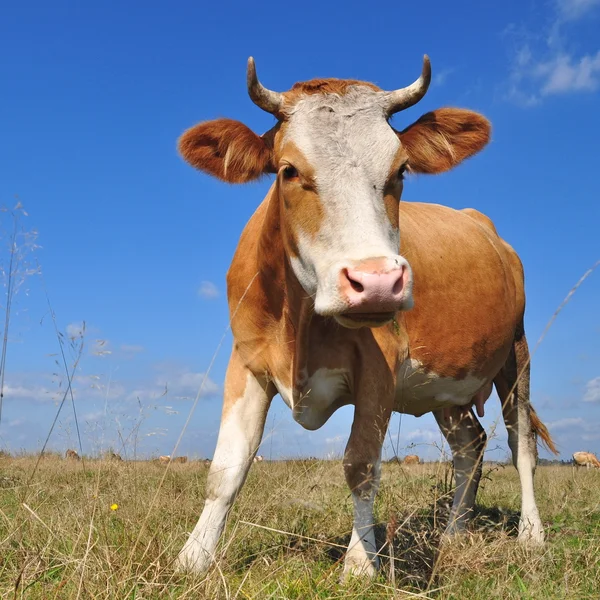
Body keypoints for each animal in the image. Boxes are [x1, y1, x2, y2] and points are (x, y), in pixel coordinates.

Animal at [175, 57, 556, 580]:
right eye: (288, 170)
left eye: (401, 170)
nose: (376, 281)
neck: (302, 321)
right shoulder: (246, 362)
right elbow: (226, 468)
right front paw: (193, 557)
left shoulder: (380, 368)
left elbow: (360, 465)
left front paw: (360, 563)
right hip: (446, 386)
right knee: (469, 445)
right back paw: (455, 532)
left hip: (516, 356)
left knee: (522, 444)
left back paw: (531, 535)